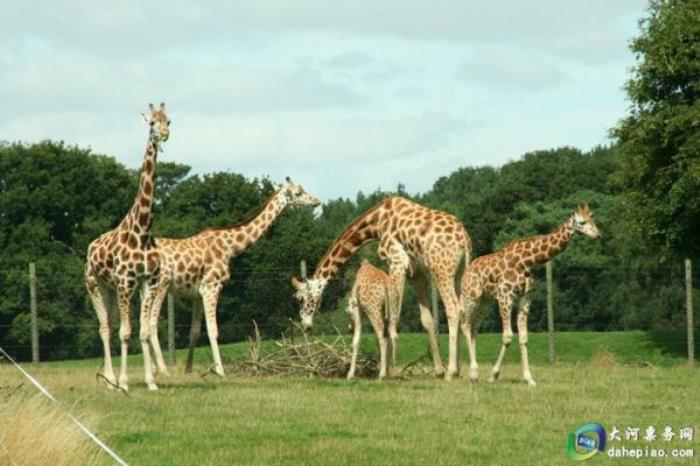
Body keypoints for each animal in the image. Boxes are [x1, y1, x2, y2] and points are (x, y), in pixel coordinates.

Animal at [84, 104, 171, 392]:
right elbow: (125, 333)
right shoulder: (125, 282)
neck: (142, 232)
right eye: (151, 123)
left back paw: (110, 378)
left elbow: (142, 332)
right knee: (104, 328)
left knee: (109, 326)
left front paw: (150, 381)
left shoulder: (148, 282)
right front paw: (123, 382)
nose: (164, 134)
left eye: (169, 120)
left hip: (111, 289)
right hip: (95, 285)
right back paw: (110, 380)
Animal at [148, 177, 322, 376]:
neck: (231, 249)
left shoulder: (197, 293)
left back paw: (152, 369)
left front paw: (188, 370)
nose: (317, 201)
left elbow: (194, 331)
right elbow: (213, 330)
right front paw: (220, 371)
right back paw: (162, 369)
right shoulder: (211, 287)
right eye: (298, 192)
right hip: (161, 285)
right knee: (151, 323)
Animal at [290, 195, 470, 380]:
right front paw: (438, 370)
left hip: (441, 271)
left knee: (453, 308)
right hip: (459, 274)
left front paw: (388, 370)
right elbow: (426, 319)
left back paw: (452, 371)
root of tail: (464, 239)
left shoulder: (397, 261)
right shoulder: (416, 272)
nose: (305, 325)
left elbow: (393, 316)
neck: (376, 222)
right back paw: (458, 370)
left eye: (300, 298)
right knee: (464, 309)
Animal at [460, 204, 600, 386]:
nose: (598, 234)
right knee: (465, 324)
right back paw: (474, 373)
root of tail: (466, 272)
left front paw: (529, 379)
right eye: (582, 222)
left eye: (593, 219)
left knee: (473, 328)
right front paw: (493, 375)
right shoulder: (505, 297)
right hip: (471, 297)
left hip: (485, 302)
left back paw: (473, 373)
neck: (527, 262)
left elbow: (523, 338)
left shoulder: (525, 299)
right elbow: (507, 337)